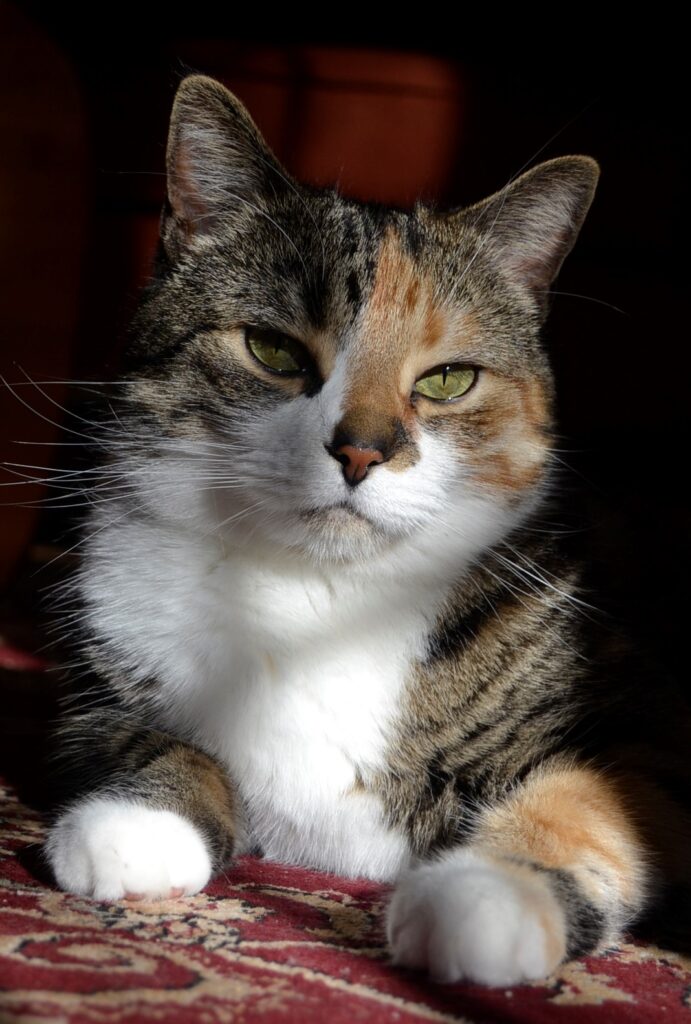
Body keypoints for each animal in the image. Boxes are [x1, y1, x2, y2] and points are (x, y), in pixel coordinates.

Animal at [43, 70, 691, 983]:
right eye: (272, 350)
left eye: (448, 379)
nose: (361, 450)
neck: (318, 594)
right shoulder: (101, 659)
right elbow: (141, 736)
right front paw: (137, 827)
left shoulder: (648, 727)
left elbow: (586, 798)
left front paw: (485, 896)